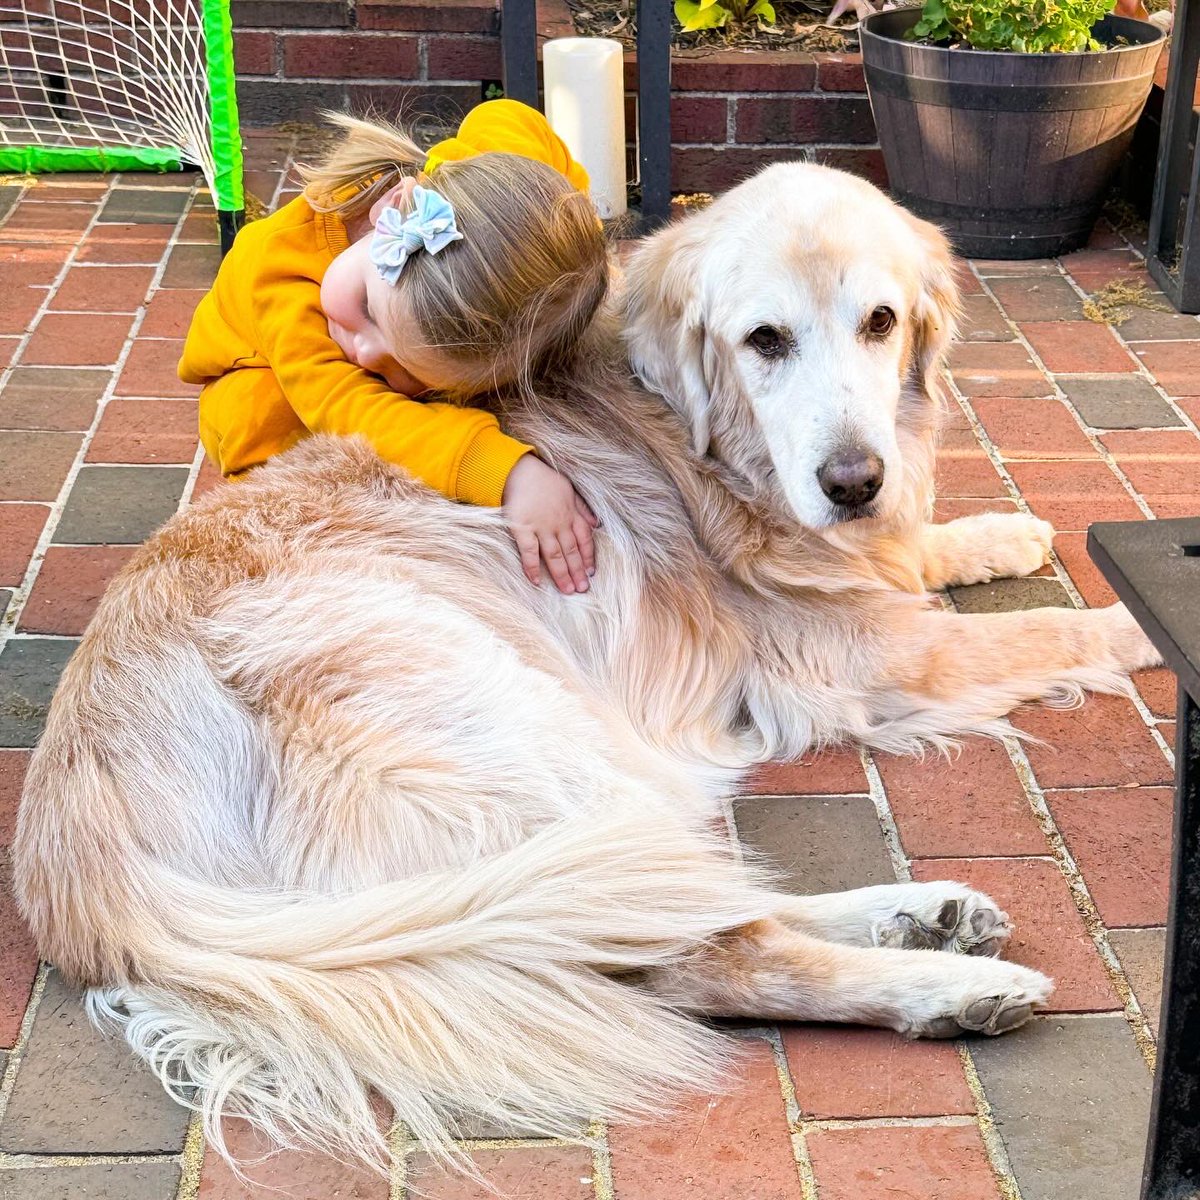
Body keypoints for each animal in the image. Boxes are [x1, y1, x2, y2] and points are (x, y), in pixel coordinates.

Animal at [11, 162, 1161, 1171]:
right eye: (765, 340)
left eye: (880, 324)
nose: (852, 481)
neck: (696, 435)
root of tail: (81, 869)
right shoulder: (872, 655)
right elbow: (1058, 631)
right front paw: (1133, 613)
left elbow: (923, 548)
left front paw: (999, 533)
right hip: (519, 731)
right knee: (700, 945)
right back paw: (939, 987)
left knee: (670, 903)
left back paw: (923, 916)